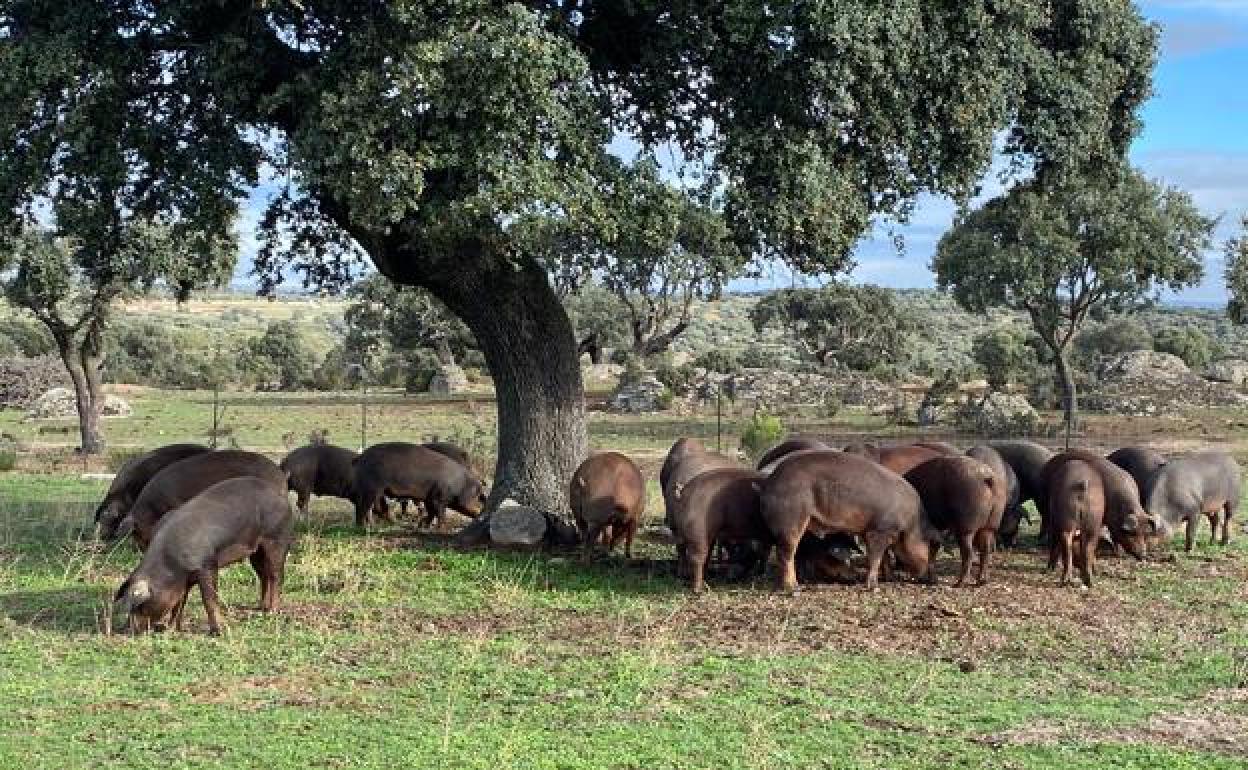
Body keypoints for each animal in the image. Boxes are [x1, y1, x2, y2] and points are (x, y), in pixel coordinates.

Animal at [112, 476, 292, 633]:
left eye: (139, 606)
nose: (126, 629)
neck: (171, 565)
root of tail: (280, 495)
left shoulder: (207, 565)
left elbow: (209, 599)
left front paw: (219, 631)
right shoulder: (183, 581)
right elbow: (179, 603)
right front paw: (170, 630)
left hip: (277, 538)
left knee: (276, 575)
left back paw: (272, 612)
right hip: (256, 552)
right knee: (264, 576)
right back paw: (262, 608)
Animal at [354, 444, 489, 529]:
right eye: (477, 496)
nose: (482, 511)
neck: (460, 484)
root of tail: (360, 458)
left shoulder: (430, 498)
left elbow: (431, 513)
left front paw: (423, 526)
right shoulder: (439, 498)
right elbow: (440, 514)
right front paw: (438, 529)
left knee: (371, 507)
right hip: (372, 487)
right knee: (365, 507)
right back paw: (363, 527)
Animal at [748, 449, 938, 594]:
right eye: (929, 548)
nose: (933, 580)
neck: (911, 524)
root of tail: (768, 483)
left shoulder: (873, 532)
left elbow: (883, 557)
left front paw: (889, 579)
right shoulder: (879, 530)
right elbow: (876, 558)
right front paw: (874, 587)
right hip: (792, 519)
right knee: (785, 554)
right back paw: (794, 589)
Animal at [1043, 456, 1103, 589]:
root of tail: (1082, 484)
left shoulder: (1054, 524)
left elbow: (1054, 545)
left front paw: (1049, 569)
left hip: (1066, 519)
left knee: (1066, 544)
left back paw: (1065, 581)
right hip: (1094, 522)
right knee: (1088, 549)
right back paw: (1089, 582)